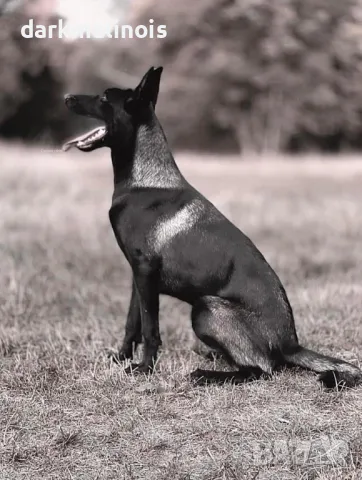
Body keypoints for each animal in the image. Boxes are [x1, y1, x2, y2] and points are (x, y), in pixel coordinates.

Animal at [64, 66, 362, 390]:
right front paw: (121, 358)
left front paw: (144, 368)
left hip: (205, 308)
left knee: (261, 369)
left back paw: (207, 374)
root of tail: (291, 345)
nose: (66, 98)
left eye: (105, 97)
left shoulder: (144, 272)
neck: (145, 179)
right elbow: (133, 323)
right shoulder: (138, 276)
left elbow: (150, 329)